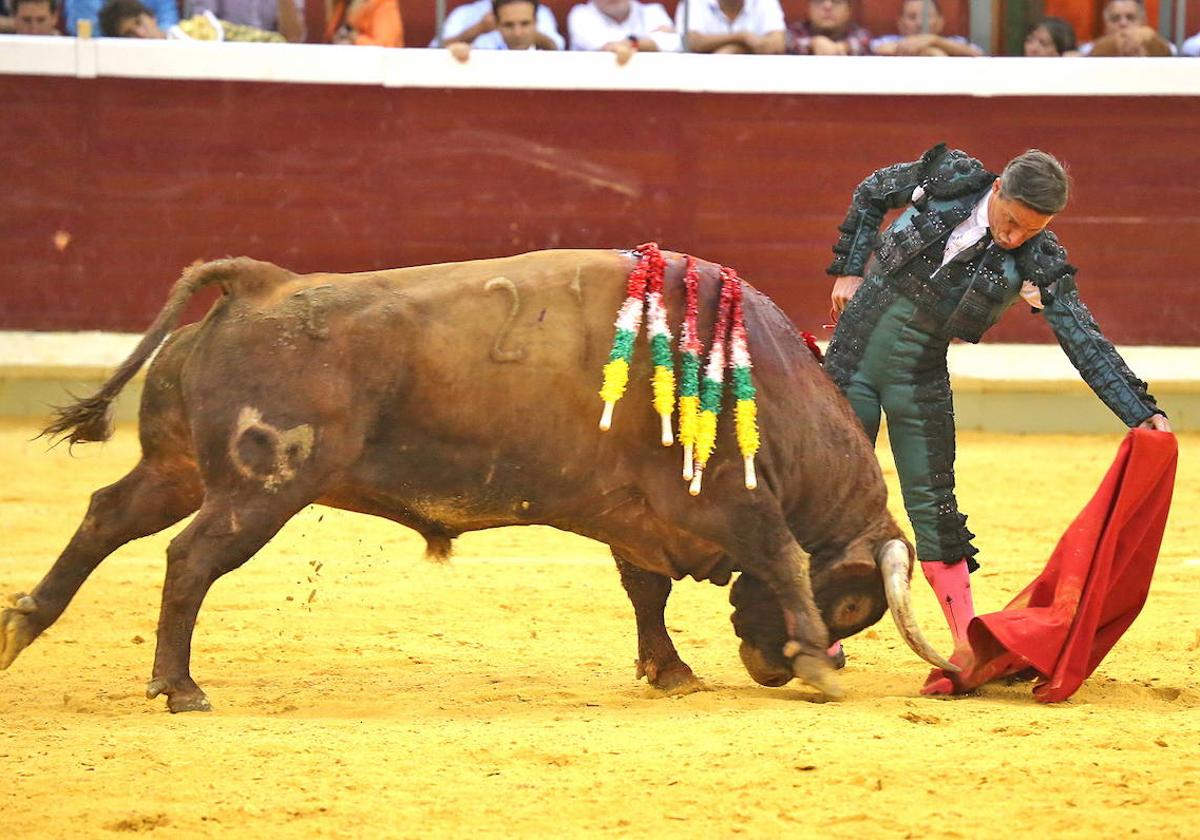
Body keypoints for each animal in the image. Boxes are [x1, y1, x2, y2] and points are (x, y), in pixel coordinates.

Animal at [2, 249, 955, 710]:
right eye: (850, 605)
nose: (770, 667)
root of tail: (260, 287)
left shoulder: (636, 518)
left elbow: (644, 593)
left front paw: (672, 671)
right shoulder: (728, 501)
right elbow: (784, 558)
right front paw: (821, 670)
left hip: (176, 471)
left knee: (105, 517)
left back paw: (22, 625)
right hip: (259, 490)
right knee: (190, 562)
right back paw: (179, 687)